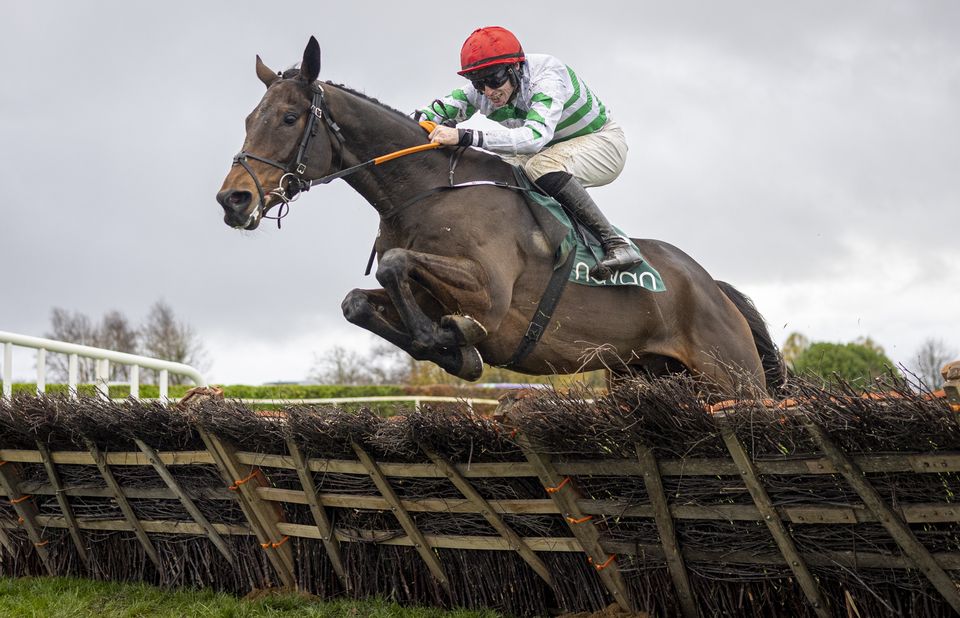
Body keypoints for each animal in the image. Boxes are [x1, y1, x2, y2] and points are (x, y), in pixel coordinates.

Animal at [219, 38, 788, 394]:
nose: (233, 200)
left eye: (290, 117)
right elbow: (357, 300)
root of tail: (713, 287)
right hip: (641, 375)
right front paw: (451, 348)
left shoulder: (489, 294)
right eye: (248, 118)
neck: (428, 192)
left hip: (733, 377)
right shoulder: (423, 292)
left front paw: (454, 341)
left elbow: (397, 265)